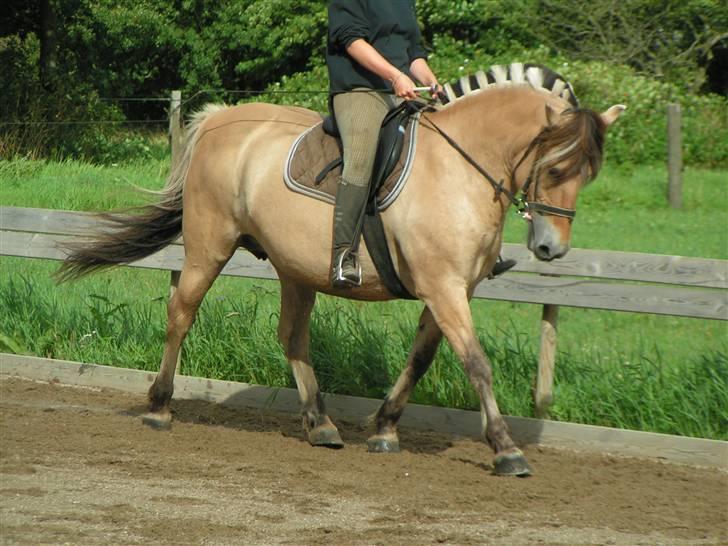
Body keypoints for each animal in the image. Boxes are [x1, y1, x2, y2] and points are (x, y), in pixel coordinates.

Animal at [59, 62, 624, 472]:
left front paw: (385, 429)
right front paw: (506, 449)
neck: (458, 169)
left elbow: (421, 359)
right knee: (181, 314)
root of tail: (220, 118)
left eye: (588, 174)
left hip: (295, 267)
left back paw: (321, 424)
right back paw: (159, 408)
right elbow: (476, 363)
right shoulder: (444, 288)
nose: (552, 250)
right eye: (555, 167)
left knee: (291, 336)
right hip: (208, 246)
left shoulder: (451, 290)